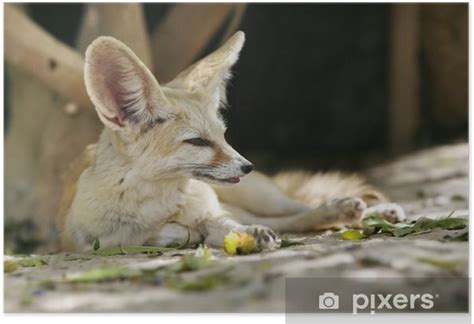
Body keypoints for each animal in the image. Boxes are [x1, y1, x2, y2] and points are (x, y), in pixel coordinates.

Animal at [55, 31, 404, 252]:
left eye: (222, 135)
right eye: (197, 141)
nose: (247, 166)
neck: (160, 203)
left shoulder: (216, 213)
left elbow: (224, 227)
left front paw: (243, 236)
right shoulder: (89, 243)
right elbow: (153, 235)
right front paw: (179, 233)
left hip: (264, 198)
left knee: (302, 207)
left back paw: (362, 210)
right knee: (292, 219)